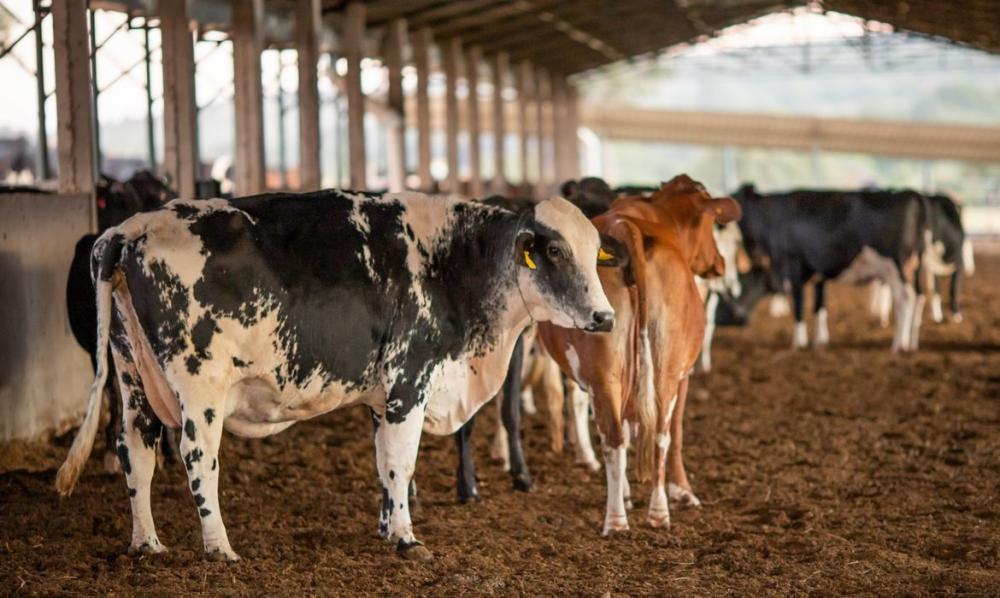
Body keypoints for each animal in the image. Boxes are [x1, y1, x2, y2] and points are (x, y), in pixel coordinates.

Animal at [56, 190, 614, 562]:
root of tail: (128, 229)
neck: (454, 262)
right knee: (197, 456)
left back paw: (147, 543)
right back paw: (219, 548)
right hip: (199, 384)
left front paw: (388, 528)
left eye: (594, 253)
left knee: (136, 449)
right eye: (556, 251)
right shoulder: (410, 379)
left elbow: (383, 462)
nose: (605, 317)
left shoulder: (382, 395)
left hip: (132, 374)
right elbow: (402, 462)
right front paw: (408, 539)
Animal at [539, 175, 741, 534]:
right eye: (709, 225)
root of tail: (626, 229)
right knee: (652, 434)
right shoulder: (683, 375)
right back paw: (634, 515)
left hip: (611, 373)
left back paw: (635, 515)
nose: (719, 263)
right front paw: (683, 491)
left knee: (625, 435)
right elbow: (676, 433)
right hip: (661, 372)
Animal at [733, 185, 927, 352]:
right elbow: (819, 306)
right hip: (915, 265)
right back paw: (911, 343)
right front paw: (819, 342)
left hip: (897, 266)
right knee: (918, 296)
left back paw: (898, 344)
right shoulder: (819, 274)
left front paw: (798, 343)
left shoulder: (792, 266)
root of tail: (910, 193)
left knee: (904, 299)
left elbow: (799, 306)